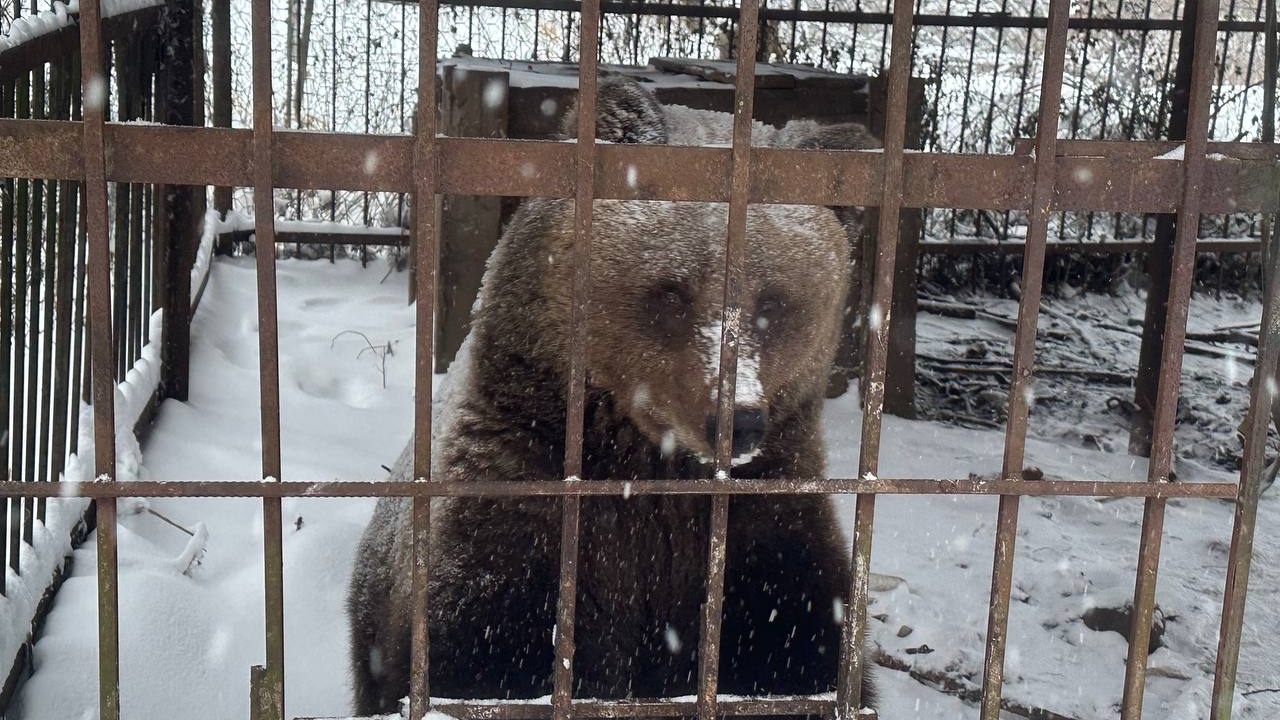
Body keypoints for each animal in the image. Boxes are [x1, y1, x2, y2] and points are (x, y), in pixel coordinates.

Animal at [350, 75, 880, 712]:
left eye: (774, 302)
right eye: (672, 292)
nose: (736, 421)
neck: (649, 468)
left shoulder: (767, 536)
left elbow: (802, 654)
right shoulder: (515, 512)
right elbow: (483, 658)